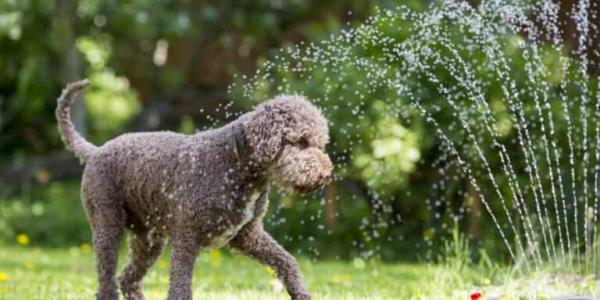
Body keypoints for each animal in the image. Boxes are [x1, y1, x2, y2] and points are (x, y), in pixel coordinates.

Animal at [55, 79, 332, 300]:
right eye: (301, 141)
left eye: (321, 144)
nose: (326, 174)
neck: (234, 163)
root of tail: (95, 151)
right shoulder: (186, 238)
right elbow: (180, 289)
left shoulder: (248, 235)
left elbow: (287, 261)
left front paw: (301, 293)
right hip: (107, 226)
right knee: (107, 282)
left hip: (149, 240)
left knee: (128, 279)